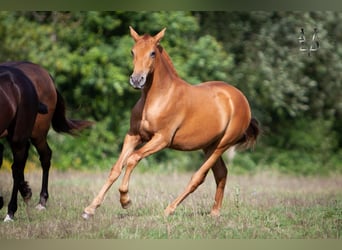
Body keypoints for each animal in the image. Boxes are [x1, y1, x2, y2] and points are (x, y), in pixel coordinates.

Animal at [83, 26, 260, 219]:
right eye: (132, 51)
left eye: (152, 53)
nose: (137, 80)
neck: (157, 98)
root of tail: (240, 98)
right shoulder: (133, 136)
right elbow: (116, 168)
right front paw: (90, 208)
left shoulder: (162, 139)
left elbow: (132, 159)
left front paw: (125, 200)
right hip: (209, 146)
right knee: (221, 174)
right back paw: (214, 213)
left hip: (222, 145)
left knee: (198, 177)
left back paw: (169, 210)